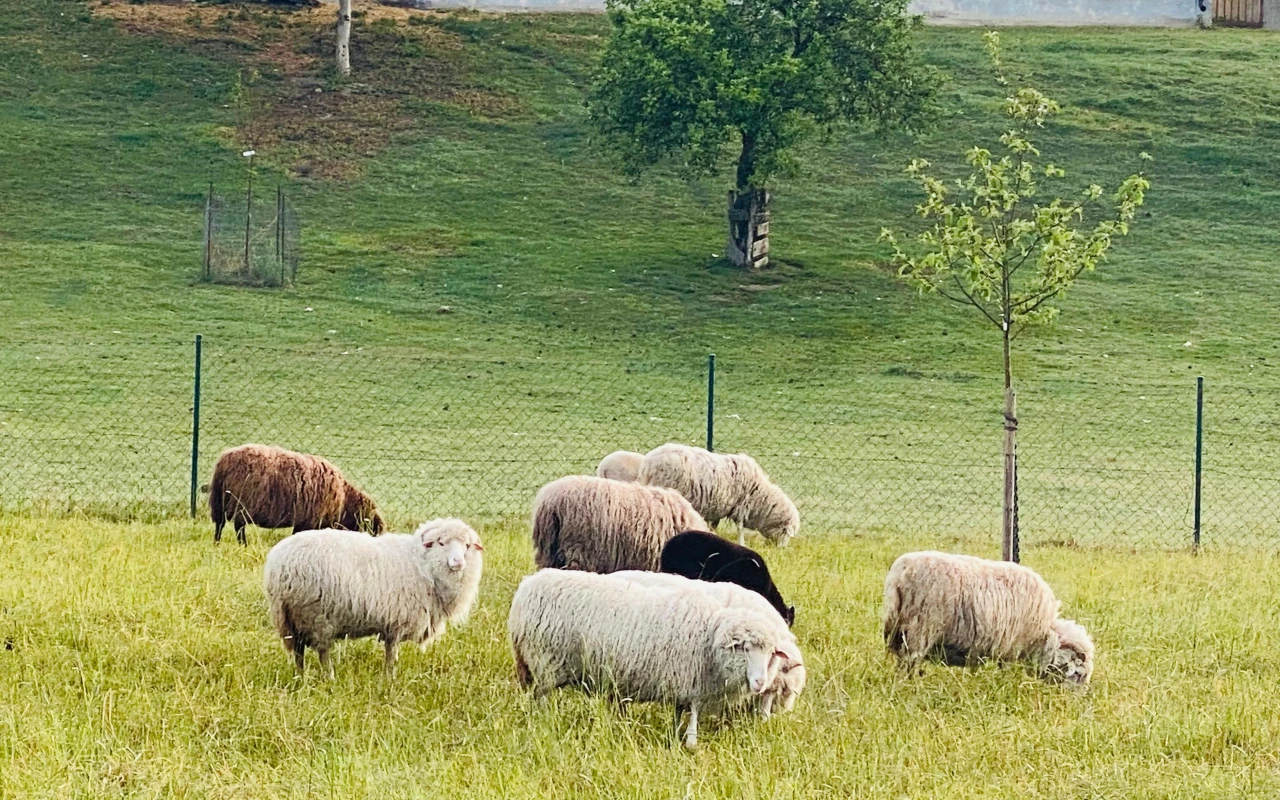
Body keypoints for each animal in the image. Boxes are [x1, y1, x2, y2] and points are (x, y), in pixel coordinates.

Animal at [209, 443, 383, 545]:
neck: (344, 501)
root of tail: (225, 460)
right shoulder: (311, 521)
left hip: (219, 500)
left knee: (220, 524)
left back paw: (216, 543)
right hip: (242, 503)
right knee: (239, 526)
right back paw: (243, 545)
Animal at [263, 518, 483, 677]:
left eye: (467, 545)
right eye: (441, 542)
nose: (458, 562)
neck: (422, 563)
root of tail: (277, 565)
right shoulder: (397, 620)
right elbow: (391, 654)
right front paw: (390, 679)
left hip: (291, 616)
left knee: (298, 651)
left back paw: (300, 676)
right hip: (315, 614)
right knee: (322, 651)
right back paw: (329, 677)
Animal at [638, 443, 799, 547]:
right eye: (786, 533)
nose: (781, 550)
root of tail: (647, 464)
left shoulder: (717, 509)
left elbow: (713, 526)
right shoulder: (742, 506)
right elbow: (740, 528)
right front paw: (742, 543)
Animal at [882, 551, 1094, 687]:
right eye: (1078, 674)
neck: (1043, 634)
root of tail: (899, 574)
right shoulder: (1011, 646)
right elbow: (1005, 669)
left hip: (900, 628)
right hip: (921, 628)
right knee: (909, 661)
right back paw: (911, 685)